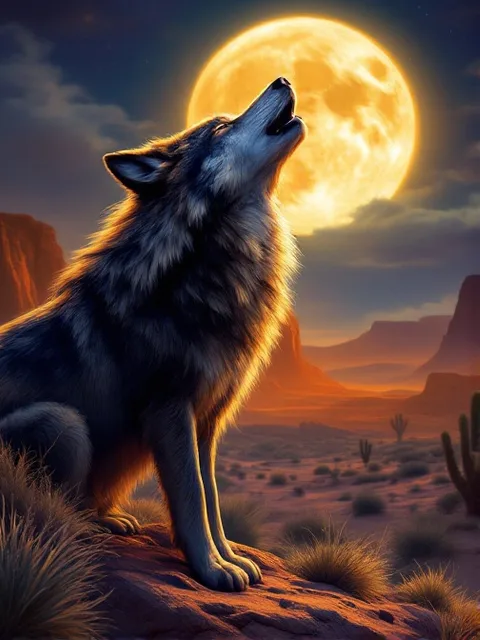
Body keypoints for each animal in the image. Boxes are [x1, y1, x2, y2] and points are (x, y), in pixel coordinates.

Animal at [0, 77, 306, 591]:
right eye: (220, 126)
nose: (283, 78)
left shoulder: (207, 422)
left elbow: (211, 500)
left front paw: (231, 559)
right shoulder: (171, 410)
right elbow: (191, 499)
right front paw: (211, 570)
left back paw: (110, 519)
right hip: (63, 423)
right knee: (59, 511)